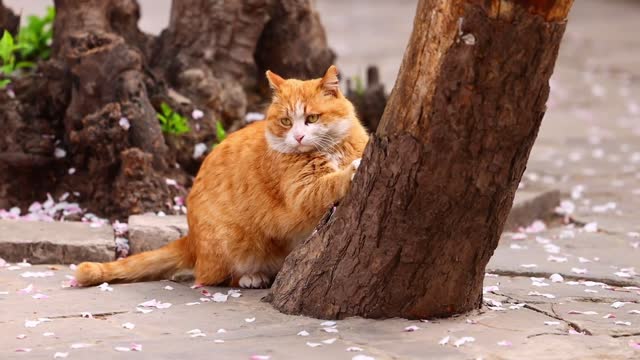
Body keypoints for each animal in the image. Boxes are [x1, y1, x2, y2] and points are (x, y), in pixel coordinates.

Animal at [75, 66, 368, 288]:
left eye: (312, 118)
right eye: (286, 121)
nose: (298, 137)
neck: (332, 150)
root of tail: (191, 239)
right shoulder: (302, 193)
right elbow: (328, 184)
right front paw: (351, 171)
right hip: (232, 243)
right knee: (213, 277)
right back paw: (253, 277)